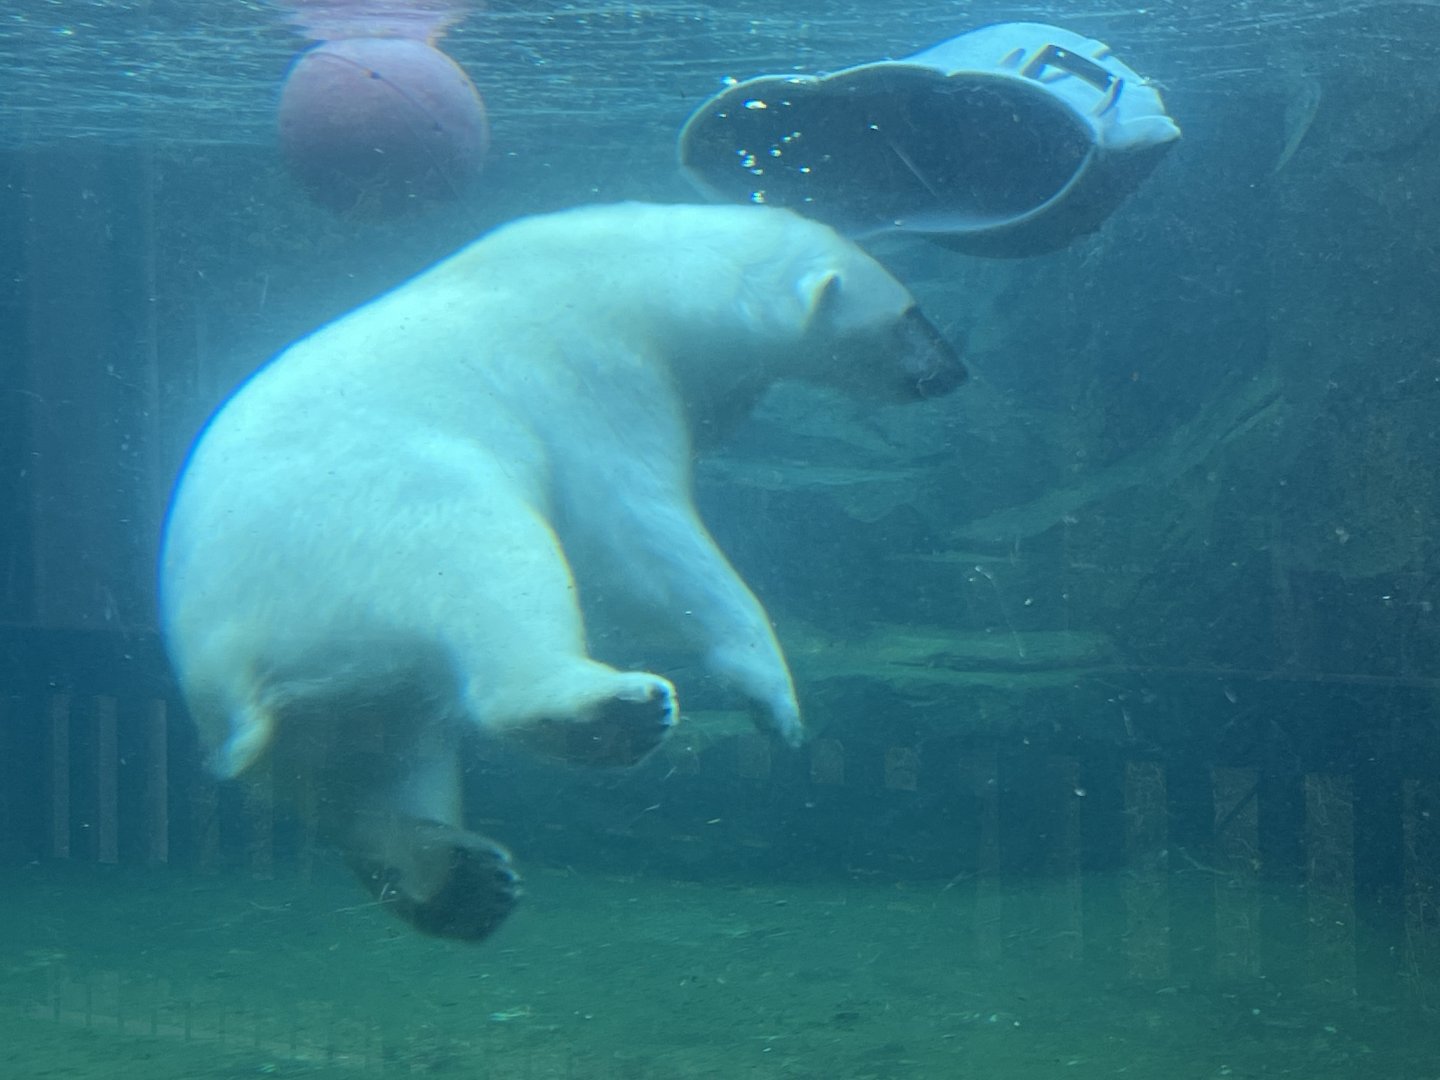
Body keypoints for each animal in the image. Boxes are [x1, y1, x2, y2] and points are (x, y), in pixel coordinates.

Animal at [159, 202, 964, 941]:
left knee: (369, 768)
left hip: (323, 680)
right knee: (497, 578)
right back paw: (617, 712)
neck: (652, 277)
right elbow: (642, 537)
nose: (955, 371)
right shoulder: (595, 373)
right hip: (380, 522)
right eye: (912, 314)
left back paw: (463, 883)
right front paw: (775, 700)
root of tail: (238, 664)